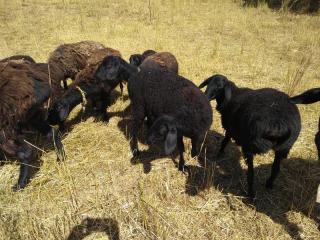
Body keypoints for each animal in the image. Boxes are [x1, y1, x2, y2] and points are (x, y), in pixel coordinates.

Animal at [0, 61, 64, 190]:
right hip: (30, 116)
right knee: (52, 132)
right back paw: (60, 158)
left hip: (7, 124)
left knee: (25, 152)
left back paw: (19, 185)